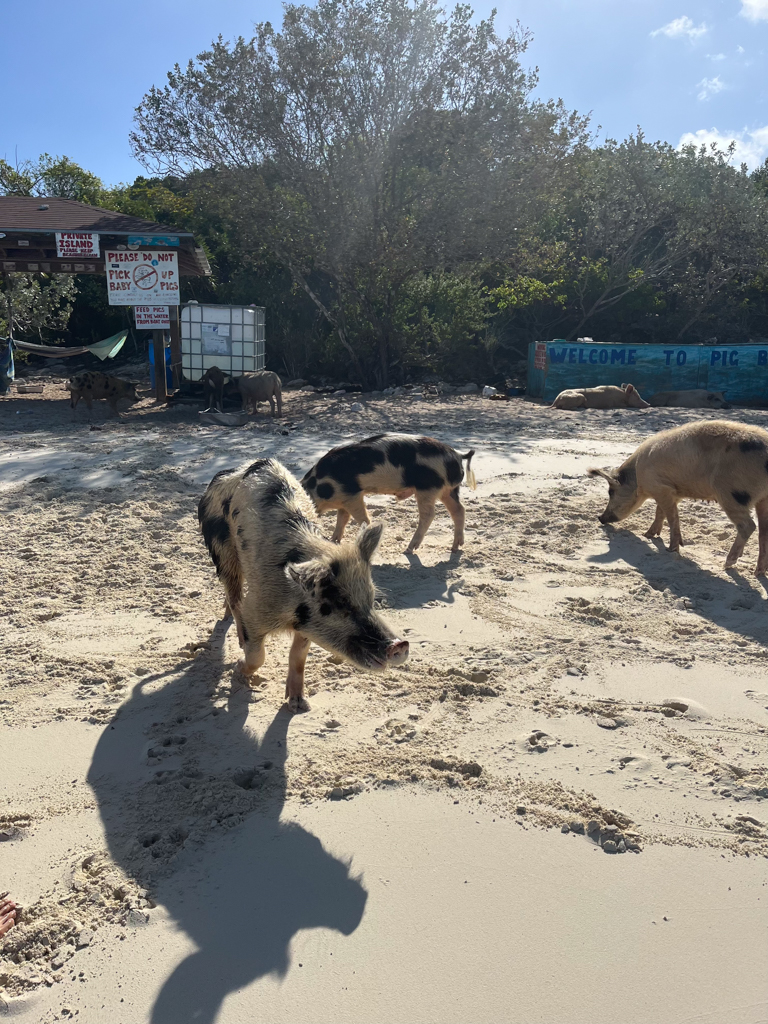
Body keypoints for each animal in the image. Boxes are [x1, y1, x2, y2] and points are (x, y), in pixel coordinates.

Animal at [198, 458, 409, 711]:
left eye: (371, 600)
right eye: (339, 604)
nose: (400, 644)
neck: (291, 614)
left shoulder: (306, 627)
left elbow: (298, 656)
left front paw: (299, 705)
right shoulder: (256, 609)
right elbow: (257, 654)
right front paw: (239, 669)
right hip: (221, 550)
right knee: (234, 596)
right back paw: (238, 638)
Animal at [300, 434, 477, 552]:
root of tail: (457, 455)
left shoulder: (352, 495)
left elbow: (362, 518)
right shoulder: (343, 499)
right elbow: (342, 520)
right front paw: (333, 541)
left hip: (428, 488)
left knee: (429, 515)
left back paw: (409, 549)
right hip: (449, 490)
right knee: (459, 510)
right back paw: (455, 547)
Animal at [588, 420, 768, 574]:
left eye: (611, 492)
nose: (600, 518)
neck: (638, 478)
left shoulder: (661, 488)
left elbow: (672, 517)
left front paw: (671, 549)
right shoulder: (671, 491)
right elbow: (660, 512)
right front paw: (648, 535)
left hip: (731, 493)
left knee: (748, 526)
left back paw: (727, 564)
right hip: (762, 499)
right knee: (763, 531)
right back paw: (758, 572)